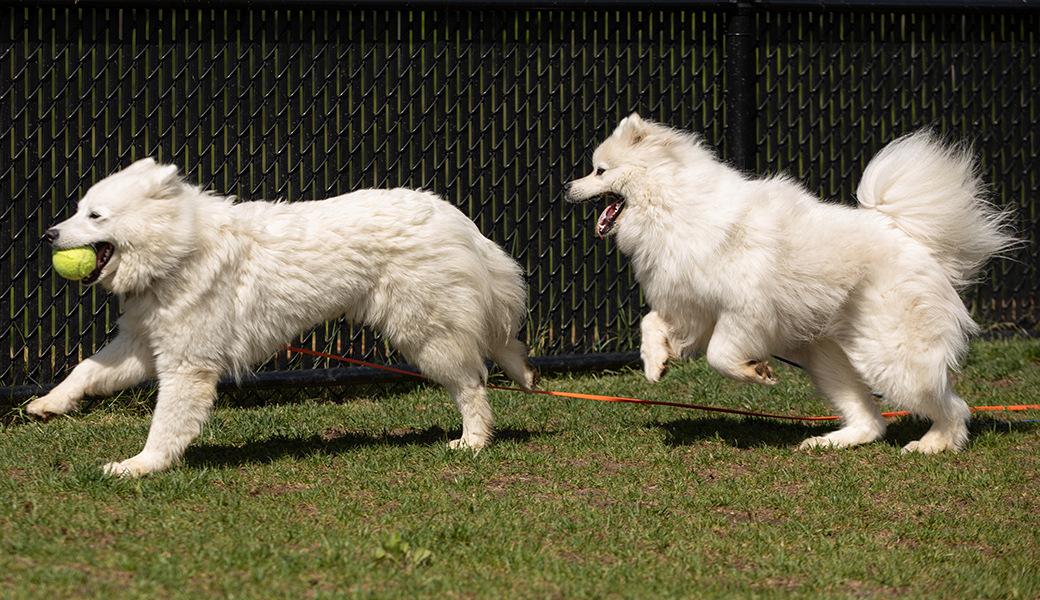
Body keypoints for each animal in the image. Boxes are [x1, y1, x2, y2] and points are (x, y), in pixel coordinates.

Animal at [28, 157, 536, 474]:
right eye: (78, 210)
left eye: (95, 216)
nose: (48, 234)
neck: (180, 249)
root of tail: (453, 215)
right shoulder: (142, 346)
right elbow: (85, 371)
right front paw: (48, 404)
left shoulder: (188, 365)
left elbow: (165, 424)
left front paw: (141, 466)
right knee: (493, 357)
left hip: (425, 334)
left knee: (472, 384)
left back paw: (473, 441)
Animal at [565, 112, 1010, 451]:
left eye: (599, 171)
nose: (568, 187)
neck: (675, 205)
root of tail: (912, 238)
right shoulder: (690, 308)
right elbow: (650, 323)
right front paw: (655, 363)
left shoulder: (742, 312)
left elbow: (720, 356)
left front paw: (754, 372)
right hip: (829, 359)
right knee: (872, 422)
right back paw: (828, 442)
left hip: (890, 357)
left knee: (953, 406)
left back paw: (932, 444)